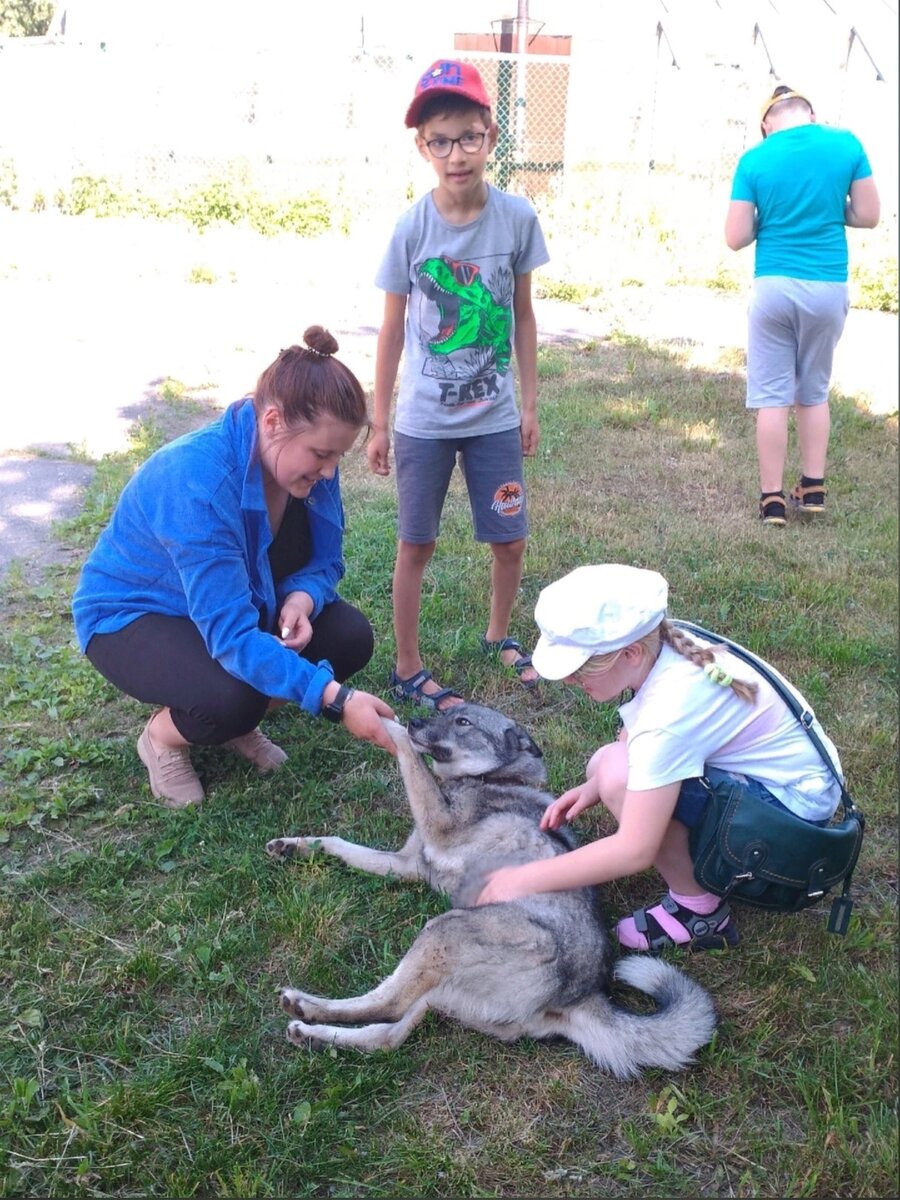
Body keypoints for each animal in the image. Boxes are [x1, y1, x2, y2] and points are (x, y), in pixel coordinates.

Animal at [267, 700, 720, 1080]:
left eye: (464, 722)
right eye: (445, 712)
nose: (415, 719)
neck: (489, 777)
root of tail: (581, 996)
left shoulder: (436, 826)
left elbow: (406, 751)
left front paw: (384, 722)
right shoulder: (406, 864)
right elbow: (338, 843)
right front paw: (294, 845)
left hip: (444, 931)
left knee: (387, 1003)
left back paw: (305, 1005)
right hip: (437, 985)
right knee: (387, 1036)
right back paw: (313, 1033)